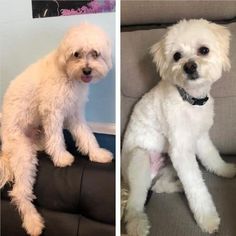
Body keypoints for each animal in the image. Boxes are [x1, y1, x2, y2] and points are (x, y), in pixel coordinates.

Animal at [0, 22, 113, 236]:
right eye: (76, 54)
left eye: (95, 53)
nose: (87, 70)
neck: (68, 74)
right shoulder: (52, 112)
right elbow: (56, 137)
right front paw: (61, 158)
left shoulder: (75, 114)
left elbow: (87, 136)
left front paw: (97, 154)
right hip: (22, 153)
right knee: (20, 192)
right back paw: (33, 222)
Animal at [121, 18, 236, 236]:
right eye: (176, 56)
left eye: (204, 50)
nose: (189, 66)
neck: (189, 100)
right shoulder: (181, 150)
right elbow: (196, 187)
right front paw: (207, 219)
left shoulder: (200, 138)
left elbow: (212, 157)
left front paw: (226, 170)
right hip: (140, 159)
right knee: (134, 204)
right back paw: (137, 224)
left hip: (168, 165)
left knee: (159, 187)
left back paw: (178, 187)